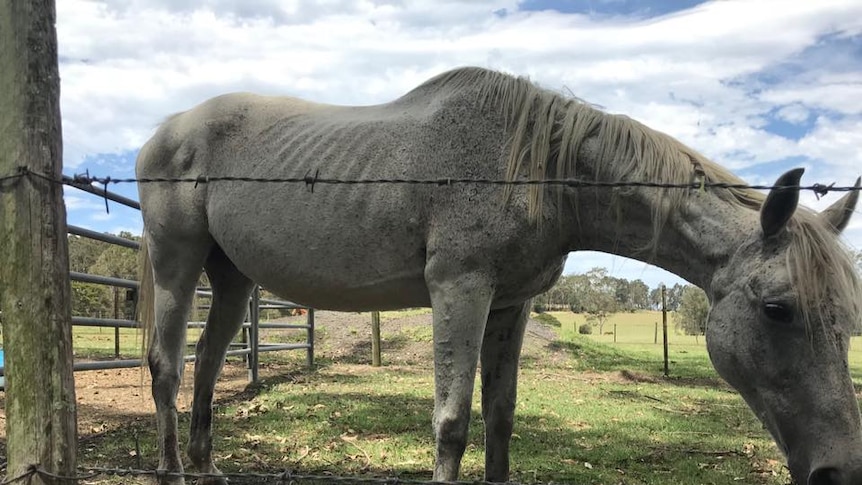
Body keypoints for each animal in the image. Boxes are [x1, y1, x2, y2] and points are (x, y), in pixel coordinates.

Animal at [137, 65, 862, 484]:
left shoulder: (511, 305)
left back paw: (207, 465)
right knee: (167, 365)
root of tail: (164, 132)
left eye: (847, 319)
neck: (541, 171)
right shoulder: (461, 289)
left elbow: (500, 419)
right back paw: (172, 469)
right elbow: (453, 422)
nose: (842, 469)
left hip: (232, 278)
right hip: (177, 263)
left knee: (206, 363)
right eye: (777, 308)